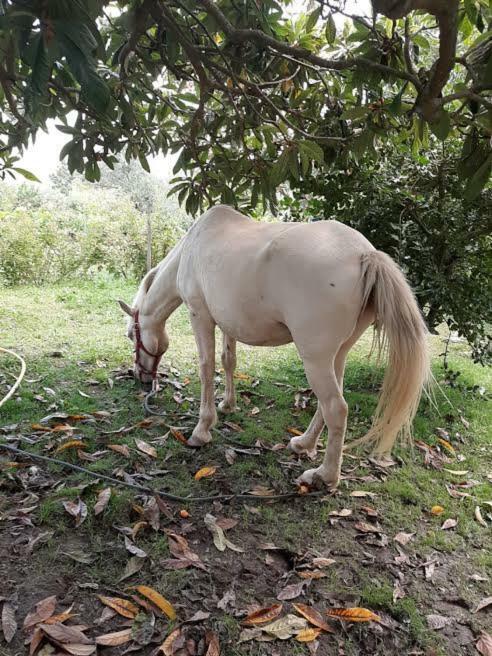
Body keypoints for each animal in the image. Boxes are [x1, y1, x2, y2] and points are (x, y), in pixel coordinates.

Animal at [118, 205, 426, 486]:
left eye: (132, 335)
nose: (141, 377)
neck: (189, 250)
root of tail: (364, 254)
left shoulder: (200, 316)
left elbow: (206, 368)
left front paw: (202, 429)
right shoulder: (228, 323)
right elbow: (228, 361)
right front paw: (228, 404)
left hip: (315, 358)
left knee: (336, 408)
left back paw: (324, 476)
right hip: (337, 354)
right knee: (328, 403)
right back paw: (304, 444)